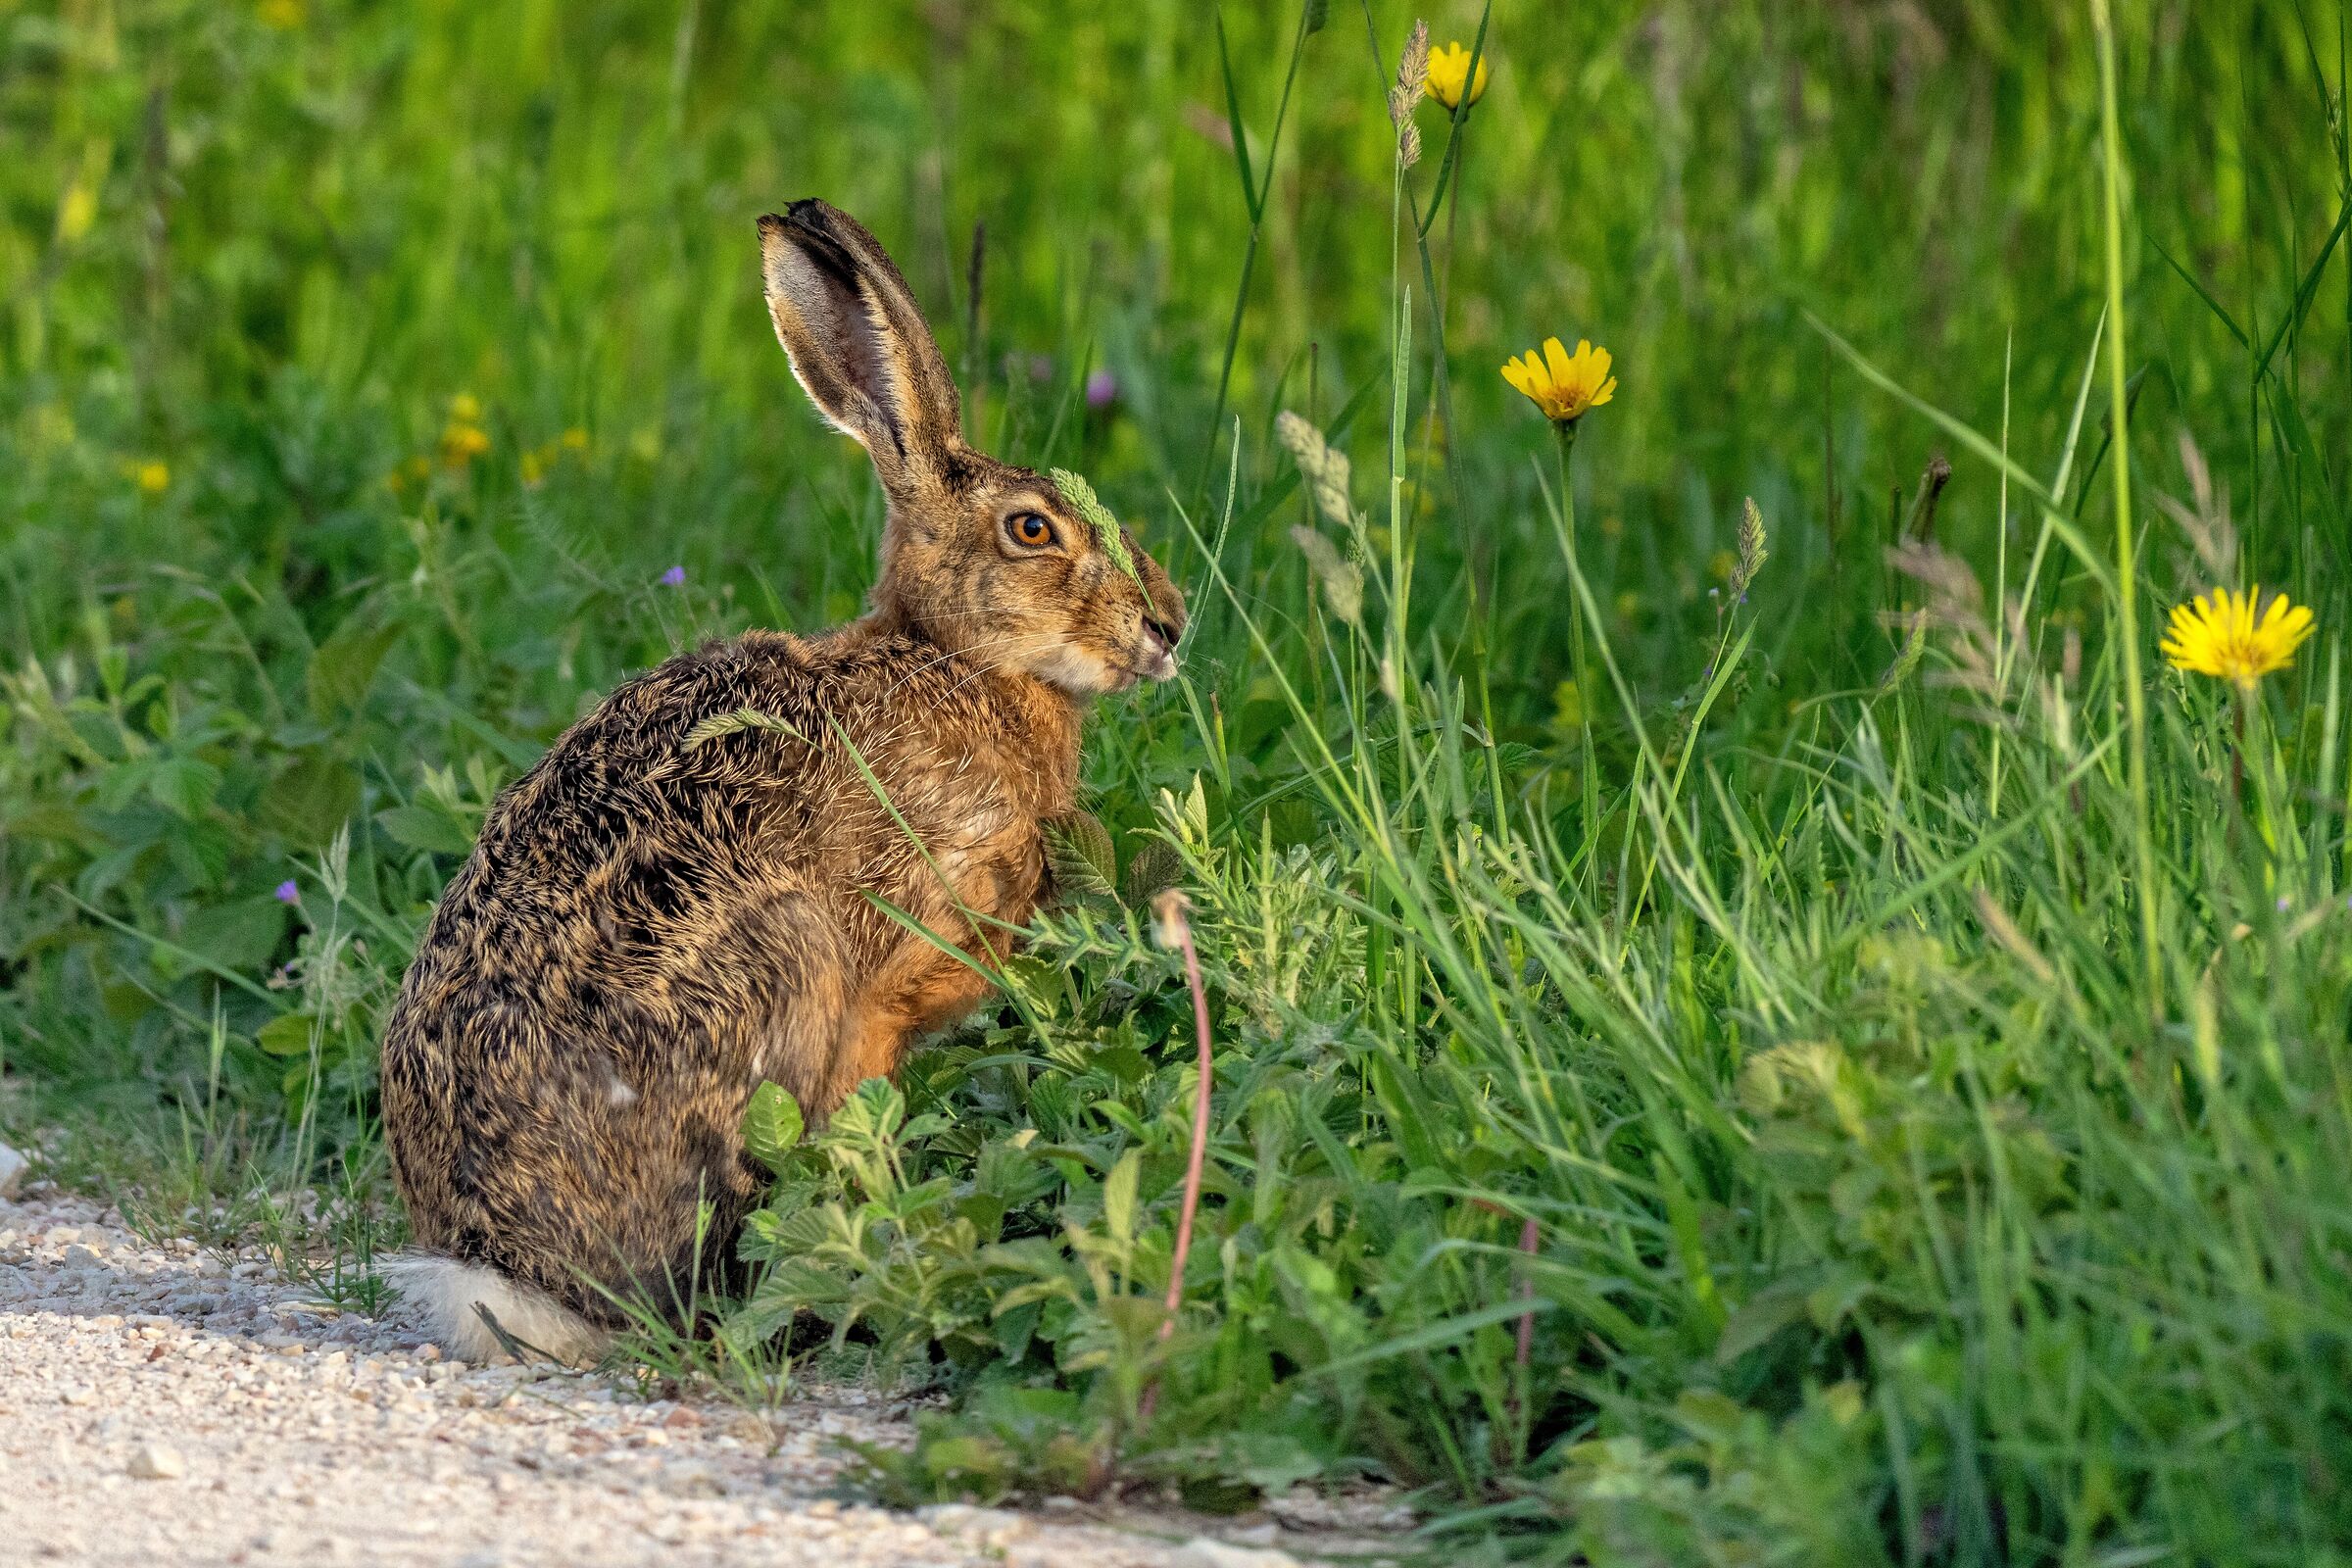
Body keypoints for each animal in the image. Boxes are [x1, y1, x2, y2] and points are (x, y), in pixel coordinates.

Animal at [378, 199, 1187, 1364]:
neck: (960, 660)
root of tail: (506, 1267)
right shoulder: (884, 985)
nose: (1169, 624)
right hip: (784, 970)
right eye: (1033, 529)